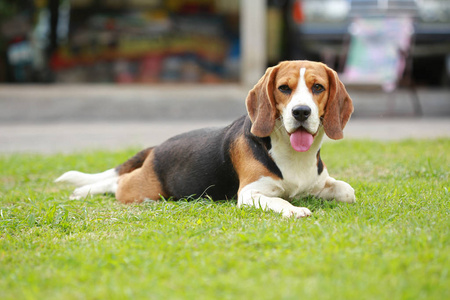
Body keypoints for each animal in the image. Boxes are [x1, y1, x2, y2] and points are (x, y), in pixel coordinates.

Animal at [57, 60, 356, 218]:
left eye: (318, 87)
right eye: (284, 88)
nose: (301, 112)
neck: (292, 155)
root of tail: (158, 147)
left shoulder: (319, 184)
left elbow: (347, 190)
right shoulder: (249, 194)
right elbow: (280, 200)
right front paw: (295, 210)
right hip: (146, 191)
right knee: (117, 183)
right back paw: (82, 192)